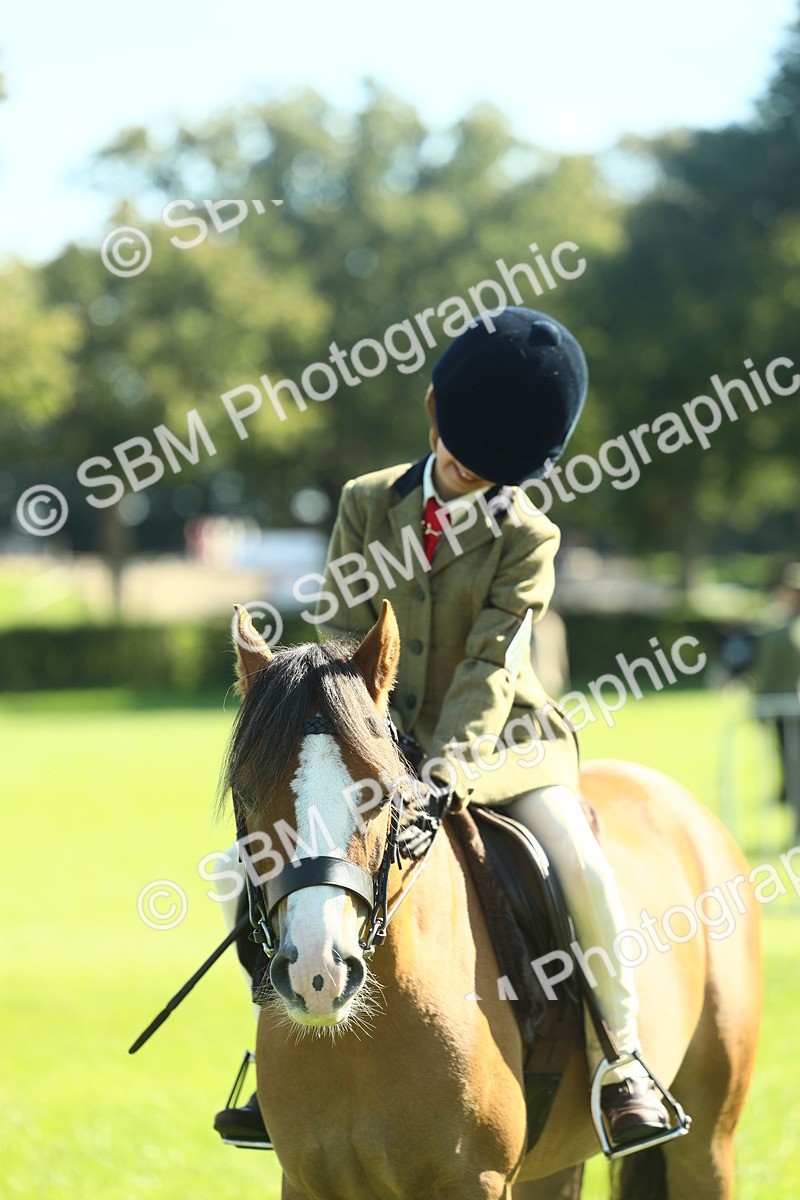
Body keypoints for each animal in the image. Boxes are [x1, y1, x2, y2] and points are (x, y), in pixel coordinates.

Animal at [220, 601, 762, 1200]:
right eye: (247, 793)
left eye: (380, 795)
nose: (318, 973)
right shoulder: (306, 1182)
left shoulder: (475, 1179)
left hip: (707, 1142)